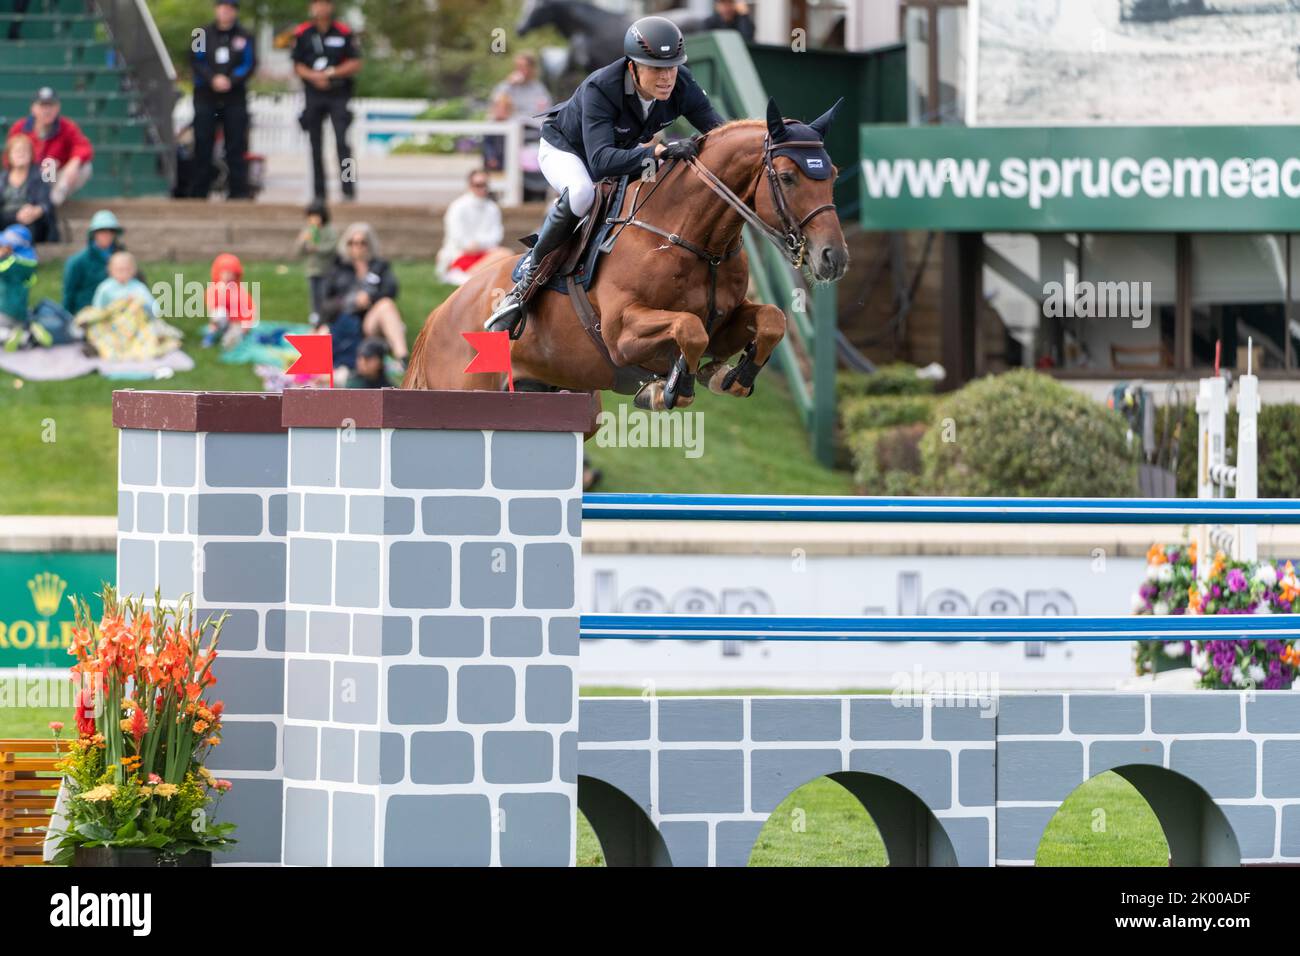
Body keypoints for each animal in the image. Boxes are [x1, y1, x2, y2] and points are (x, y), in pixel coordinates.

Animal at [405, 98, 852, 411]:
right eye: (789, 177)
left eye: (832, 175)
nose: (833, 258)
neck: (693, 239)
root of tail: (438, 314)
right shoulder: (622, 333)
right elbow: (690, 327)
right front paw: (671, 388)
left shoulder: (725, 322)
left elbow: (772, 320)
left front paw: (729, 376)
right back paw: (510, 307)